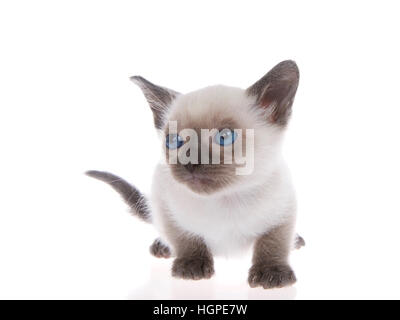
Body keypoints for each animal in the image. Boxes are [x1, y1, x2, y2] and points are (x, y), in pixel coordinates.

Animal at [87, 60, 304, 290]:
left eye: (224, 137)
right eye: (174, 141)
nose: (190, 161)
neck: (225, 200)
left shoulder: (284, 210)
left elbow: (273, 242)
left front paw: (272, 273)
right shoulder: (166, 206)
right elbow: (184, 238)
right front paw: (191, 267)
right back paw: (162, 247)